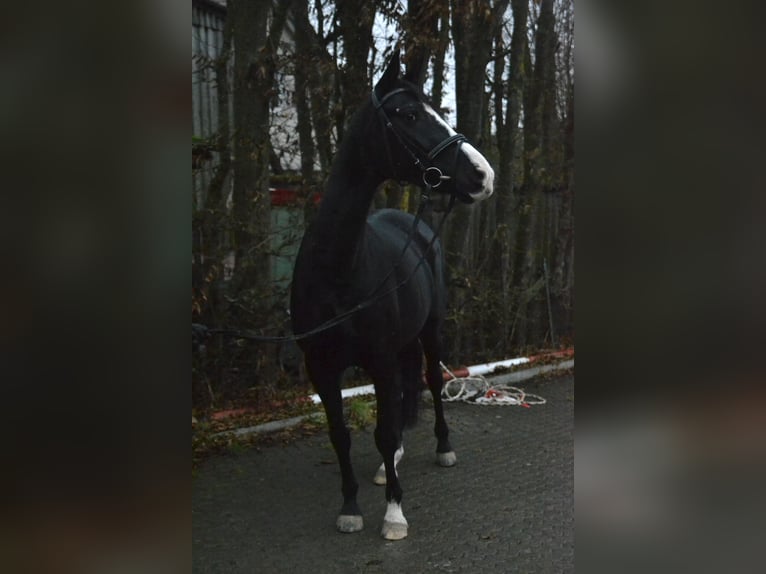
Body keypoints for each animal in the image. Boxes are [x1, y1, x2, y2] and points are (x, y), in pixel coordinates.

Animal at [292, 51, 496, 544]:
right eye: (408, 114)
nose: (483, 175)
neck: (338, 273)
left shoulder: (380, 361)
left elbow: (383, 432)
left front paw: (394, 516)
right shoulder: (320, 367)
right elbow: (341, 435)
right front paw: (350, 508)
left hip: (431, 332)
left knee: (432, 382)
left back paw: (442, 448)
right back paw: (392, 466)